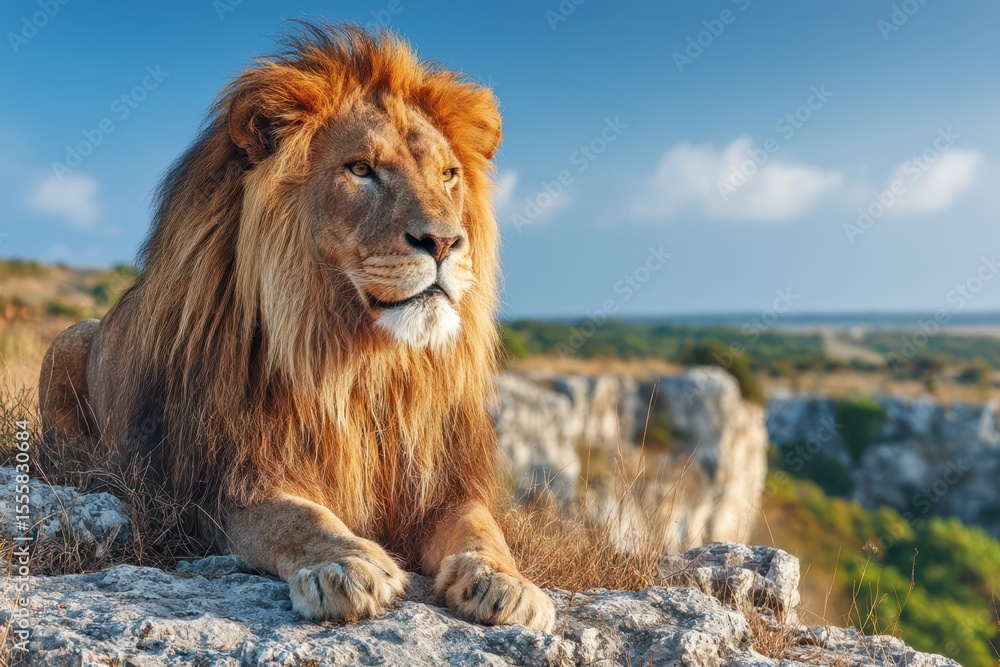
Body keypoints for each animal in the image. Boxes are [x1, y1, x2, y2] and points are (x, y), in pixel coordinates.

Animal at [38, 23, 555, 631]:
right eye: (361, 170)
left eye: (449, 176)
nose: (446, 241)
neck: (363, 364)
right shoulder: (223, 486)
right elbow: (299, 517)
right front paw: (347, 566)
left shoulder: (441, 483)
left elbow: (481, 527)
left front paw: (507, 583)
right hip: (67, 341)